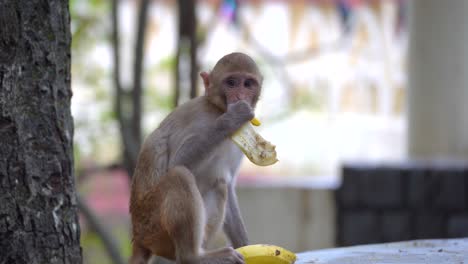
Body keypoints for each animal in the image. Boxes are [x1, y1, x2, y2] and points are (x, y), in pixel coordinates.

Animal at [130, 52, 264, 262]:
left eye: (248, 84)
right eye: (231, 82)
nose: (240, 97)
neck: (217, 108)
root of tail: (139, 238)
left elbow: (229, 184)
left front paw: (247, 246)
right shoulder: (200, 120)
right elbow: (178, 162)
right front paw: (232, 119)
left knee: (220, 185)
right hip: (154, 226)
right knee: (179, 175)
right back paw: (193, 256)